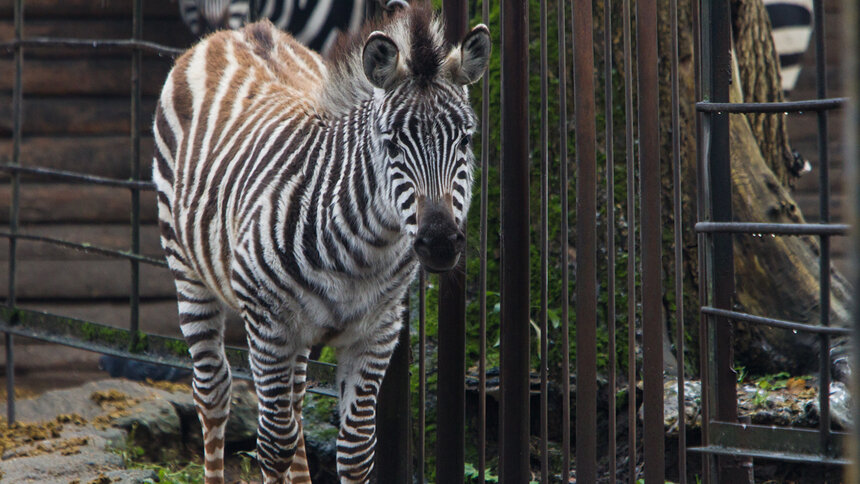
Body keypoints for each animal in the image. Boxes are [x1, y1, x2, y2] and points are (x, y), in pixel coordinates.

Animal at [153, 3, 490, 484]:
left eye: (465, 140)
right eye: (391, 144)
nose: (441, 242)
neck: (364, 257)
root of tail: (238, 32)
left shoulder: (378, 332)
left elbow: (356, 450)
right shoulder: (269, 326)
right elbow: (273, 446)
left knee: (294, 401)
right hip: (189, 271)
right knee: (214, 391)